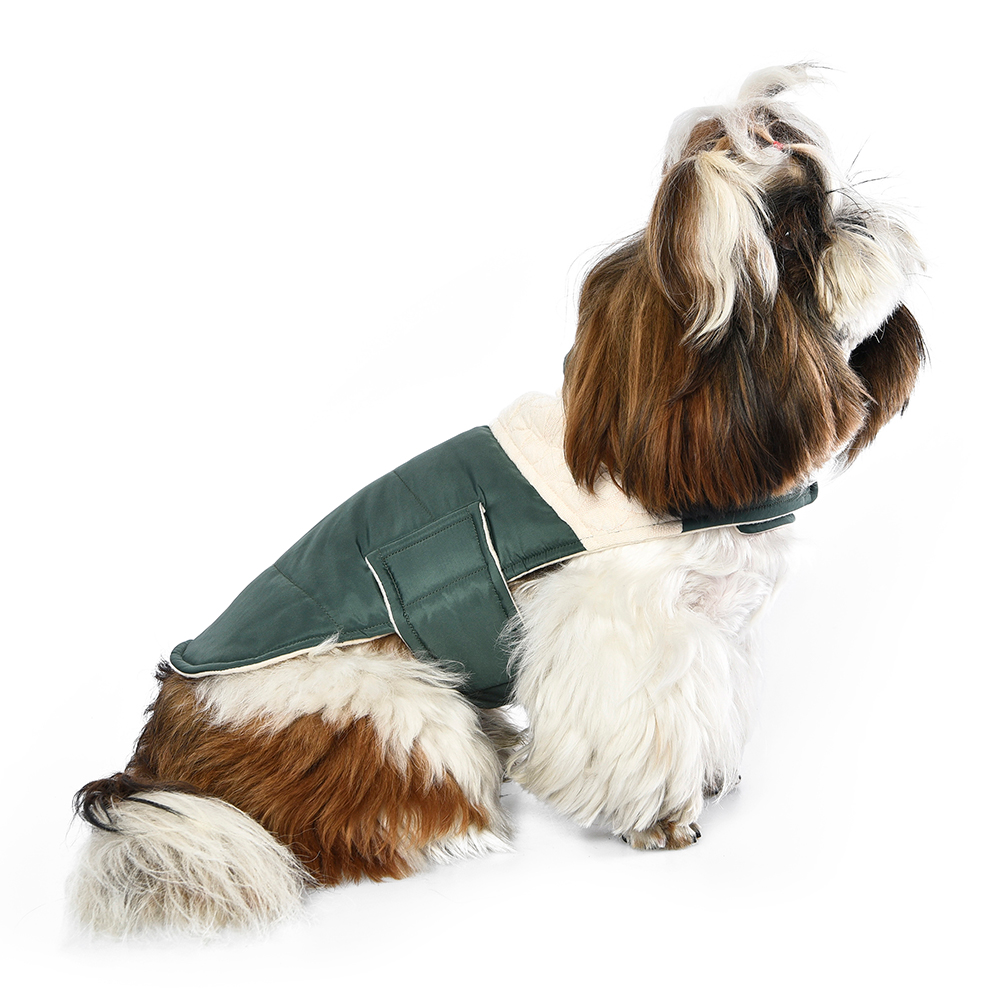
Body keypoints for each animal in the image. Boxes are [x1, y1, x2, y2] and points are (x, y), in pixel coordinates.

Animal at [70, 64, 925, 935]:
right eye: (794, 230)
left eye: (829, 192)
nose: (850, 211)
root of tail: (156, 763)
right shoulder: (621, 638)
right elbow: (644, 728)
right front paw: (660, 816)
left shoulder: (709, 629)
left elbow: (708, 707)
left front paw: (711, 774)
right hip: (388, 710)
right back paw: (460, 827)